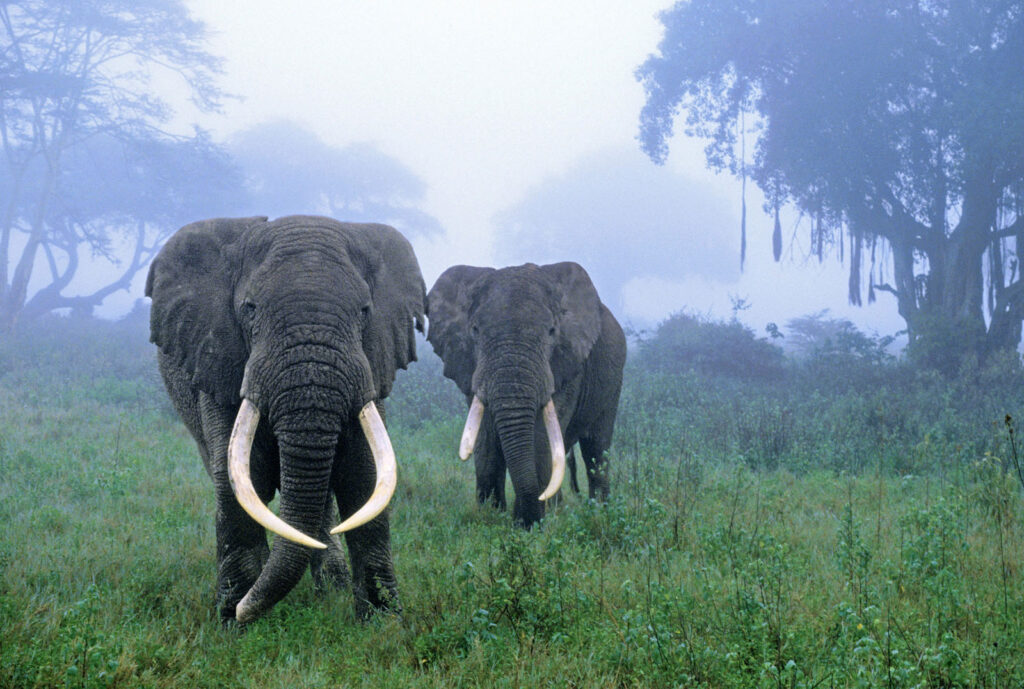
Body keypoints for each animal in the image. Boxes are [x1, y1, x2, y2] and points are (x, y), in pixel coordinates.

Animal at [145, 214, 423, 622]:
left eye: (364, 311)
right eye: (249, 308)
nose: (242, 611)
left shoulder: (373, 365)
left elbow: (365, 476)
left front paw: (383, 622)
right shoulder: (220, 362)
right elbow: (238, 479)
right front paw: (233, 621)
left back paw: (331, 588)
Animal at [423, 259, 622, 528]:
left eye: (552, 331)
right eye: (475, 330)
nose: (527, 520)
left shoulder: (567, 364)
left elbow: (541, 438)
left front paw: (528, 528)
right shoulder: (471, 365)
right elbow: (485, 439)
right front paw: (490, 519)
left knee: (596, 449)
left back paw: (599, 513)